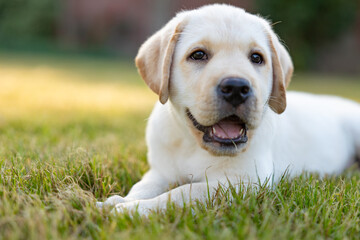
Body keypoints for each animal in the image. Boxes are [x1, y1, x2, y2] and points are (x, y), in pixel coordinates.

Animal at [97, 3, 360, 215]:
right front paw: (118, 201)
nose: (236, 88)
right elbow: (143, 185)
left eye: (257, 58)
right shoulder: (160, 171)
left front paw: (133, 210)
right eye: (198, 55)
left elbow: (183, 192)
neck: (194, 145)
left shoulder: (244, 182)